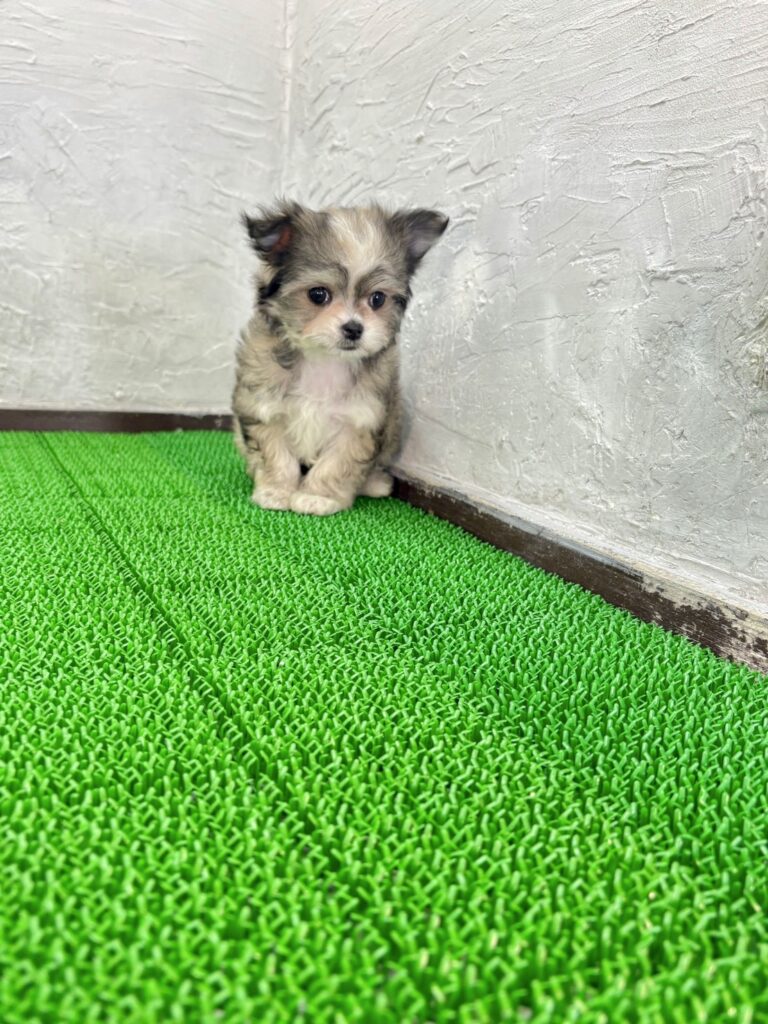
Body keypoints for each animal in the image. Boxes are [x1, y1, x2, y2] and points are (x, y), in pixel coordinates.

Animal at [232, 200, 448, 516]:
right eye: (318, 294)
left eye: (377, 299)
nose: (354, 328)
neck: (324, 360)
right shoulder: (265, 407)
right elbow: (277, 455)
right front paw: (276, 490)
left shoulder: (359, 420)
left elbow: (335, 464)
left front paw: (318, 497)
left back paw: (375, 483)